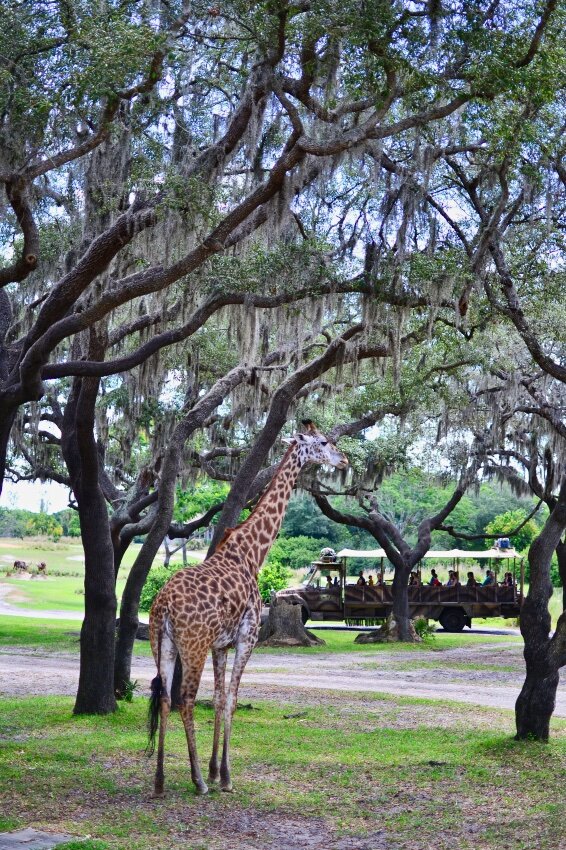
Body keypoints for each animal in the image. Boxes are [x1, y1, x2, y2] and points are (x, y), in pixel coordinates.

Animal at [146, 420, 348, 800]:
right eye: (324, 442)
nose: (343, 460)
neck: (252, 554)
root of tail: (162, 604)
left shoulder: (220, 645)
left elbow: (219, 698)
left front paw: (215, 770)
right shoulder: (247, 637)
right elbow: (233, 699)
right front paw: (224, 776)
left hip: (161, 644)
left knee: (165, 698)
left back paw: (161, 780)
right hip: (191, 646)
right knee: (185, 699)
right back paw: (196, 781)